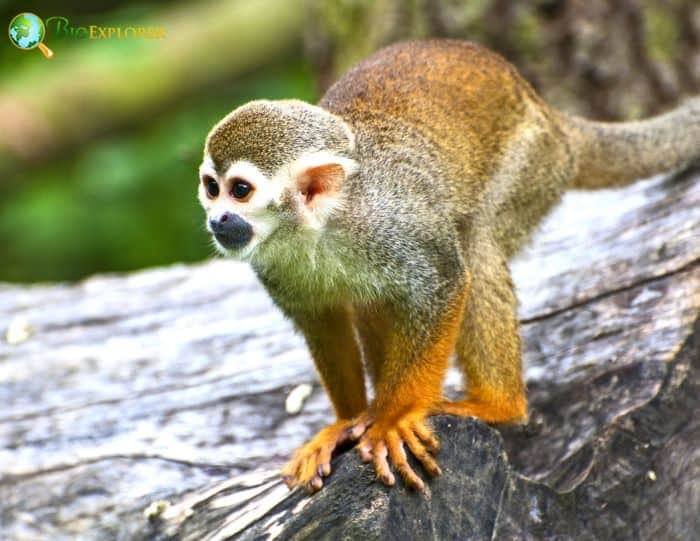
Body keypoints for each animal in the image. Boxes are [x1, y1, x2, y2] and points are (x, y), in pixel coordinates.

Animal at [198, 40, 700, 494]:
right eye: (211, 187)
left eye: (240, 190)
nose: (217, 218)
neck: (321, 226)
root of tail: (547, 112)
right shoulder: (275, 265)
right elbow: (325, 324)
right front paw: (348, 422)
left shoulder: (394, 225)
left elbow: (443, 282)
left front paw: (394, 420)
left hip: (532, 166)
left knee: (475, 248)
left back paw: (497, 406)